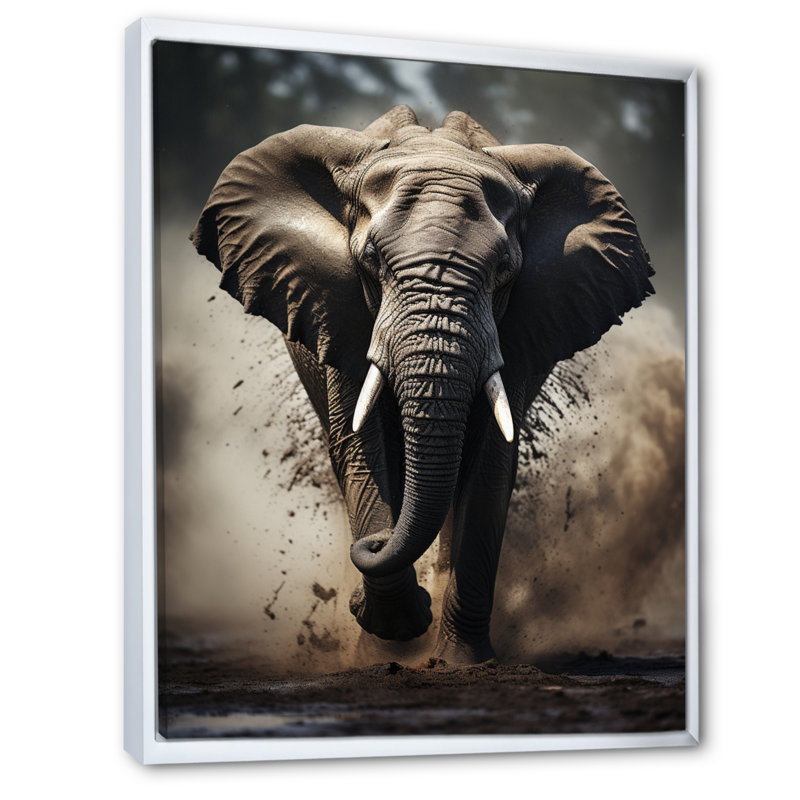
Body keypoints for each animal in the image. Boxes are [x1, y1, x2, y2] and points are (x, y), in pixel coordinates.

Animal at [191, 104, 654, 665]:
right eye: (370, 261)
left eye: (503, 271)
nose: (369, 553)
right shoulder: (341, 308)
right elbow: (363, 447)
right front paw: (391, 631)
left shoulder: (520, 328)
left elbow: (490, 463)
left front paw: (462, 663)